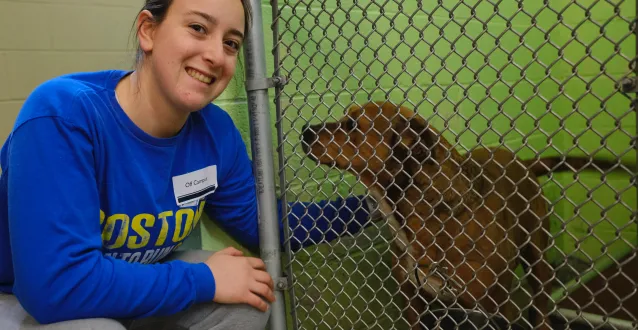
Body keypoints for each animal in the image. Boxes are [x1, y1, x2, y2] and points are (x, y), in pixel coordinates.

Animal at [302, 100, 616, 330]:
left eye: (351, 124)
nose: (306, 130)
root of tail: (524, 164)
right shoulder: (413, 301)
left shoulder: (494, 306)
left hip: (537, 257)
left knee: (540, 304)